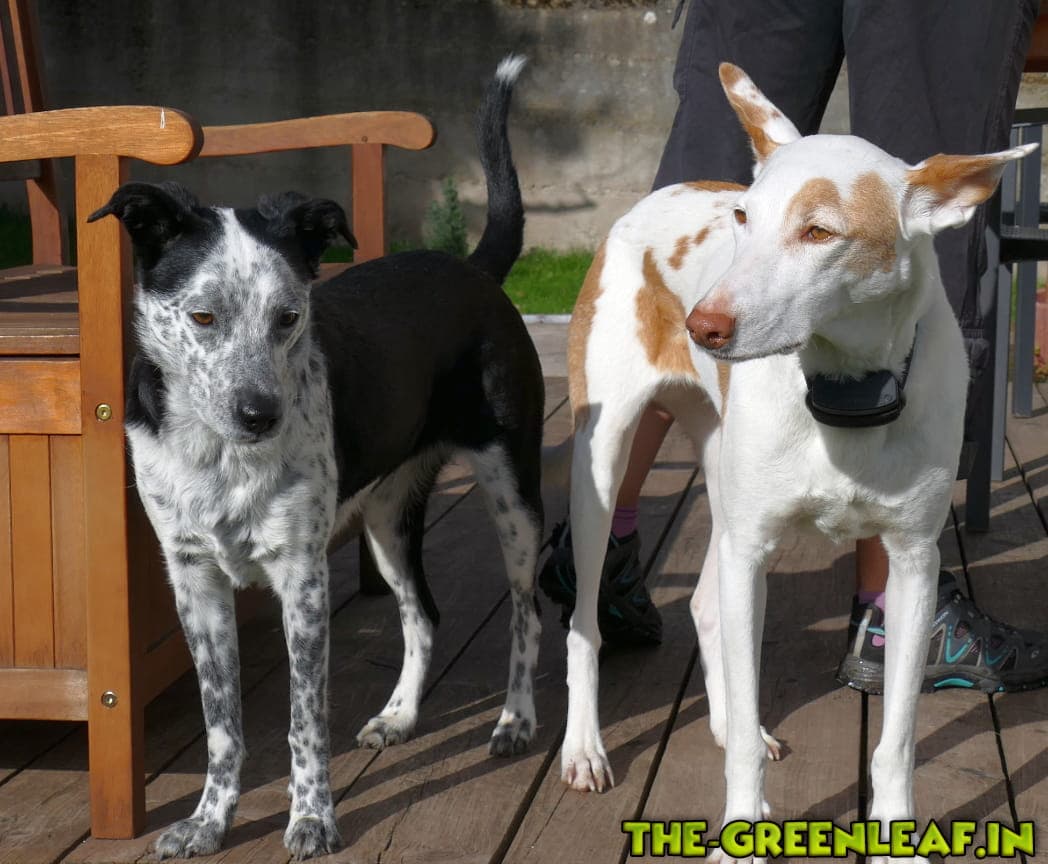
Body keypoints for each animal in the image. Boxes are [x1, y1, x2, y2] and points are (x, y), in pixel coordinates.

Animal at [89, 56, 543, 860]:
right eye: (201, 315)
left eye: (290, 316)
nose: (261, 415)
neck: (218, 454)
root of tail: (475, 270)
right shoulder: (194, 582)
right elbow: (222, 724)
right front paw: (210, 820)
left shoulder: (302, 581)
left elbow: (304, 723)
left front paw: (310, 819)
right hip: (388, 519)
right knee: (423, 613)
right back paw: (400, 715)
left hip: (513, 496)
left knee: (531, 610)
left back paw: (515, 719)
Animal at [558, 63, 1032, 861]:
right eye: (744, 219)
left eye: (820, 232)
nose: (702, 327)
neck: (845, 392)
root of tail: (664, 191)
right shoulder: (752, 547)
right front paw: (739, 832)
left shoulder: (913, 563)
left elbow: (898, 740)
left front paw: (895, 834)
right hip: (603, 462)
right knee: (583, 625)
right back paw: (586, 747)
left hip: (722, 485)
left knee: (706, 608)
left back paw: (730, 723)